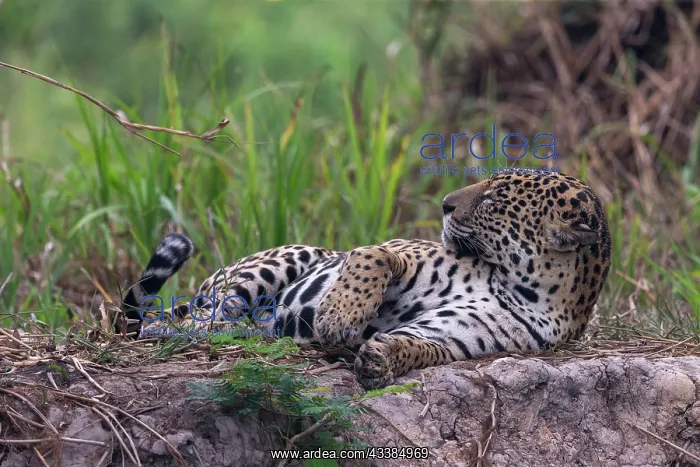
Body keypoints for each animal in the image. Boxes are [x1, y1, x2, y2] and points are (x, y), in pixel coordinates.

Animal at [118, 171, 611, 390]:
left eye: (494, 197)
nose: (445, 204)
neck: (519, 285)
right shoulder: (399, 250)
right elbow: (371, 258)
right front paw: (339, 318)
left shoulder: (458, 334)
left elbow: (422, 346)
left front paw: (382, 359)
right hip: (278, 263)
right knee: (195, 320)